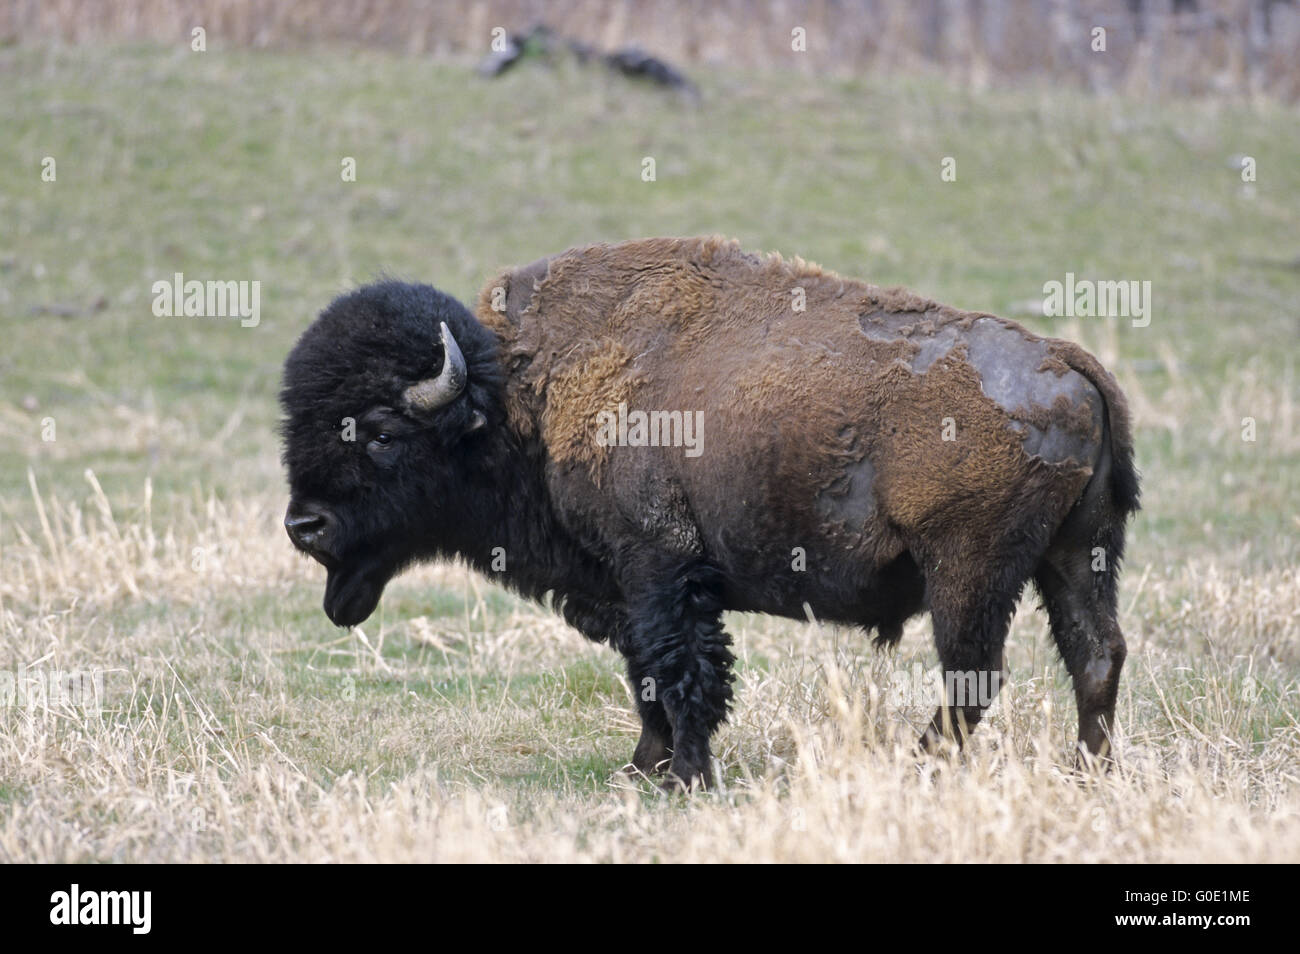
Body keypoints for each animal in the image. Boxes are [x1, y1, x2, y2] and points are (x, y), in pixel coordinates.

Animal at [282, 235, 1138, 790]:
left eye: (382, 432)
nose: (303, 526)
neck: (520, 395)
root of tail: (1068, 362)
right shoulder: (631, 584)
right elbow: (649, 674)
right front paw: (641, 769)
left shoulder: (657, 568)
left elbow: (681, 671)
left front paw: (682, 776)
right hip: (1077, 554)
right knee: (1095, 654)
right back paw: (1087, 776)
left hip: (968, 570)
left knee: (974, 676)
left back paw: (916, 767)